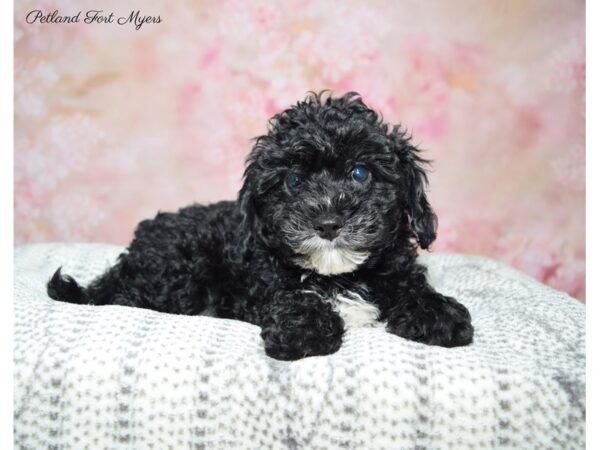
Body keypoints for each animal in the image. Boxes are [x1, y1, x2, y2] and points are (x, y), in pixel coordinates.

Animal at [48, 90, 474, 358]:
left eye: (359, 173)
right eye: (293, 181)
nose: (328, 222)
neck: (339, 276)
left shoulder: (395, 270)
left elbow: (412, 286)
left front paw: (437, 313)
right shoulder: (265, 282)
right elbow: (292, 297)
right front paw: (304, 331)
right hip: (173, 272)